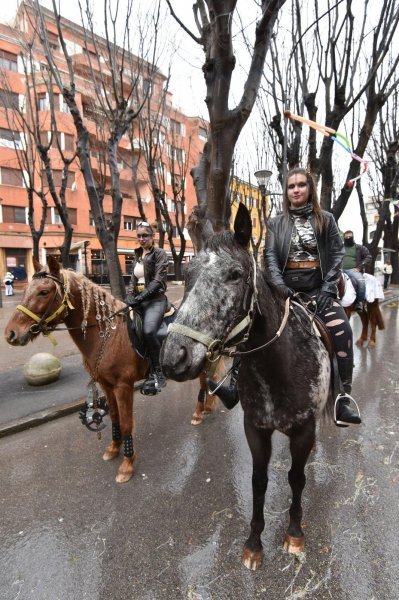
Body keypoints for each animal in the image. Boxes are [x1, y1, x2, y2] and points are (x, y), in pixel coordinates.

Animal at [3, 258, 219, 482]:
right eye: (26, 289)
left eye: (44, 292)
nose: (11, 333)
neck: (109, 335)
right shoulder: (106, 385)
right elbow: (115, 417)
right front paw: (113, 448)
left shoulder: (123, 386)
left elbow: (126, 423)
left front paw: (127, 464)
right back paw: (206, 407)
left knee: (203, 384)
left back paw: (198, 413)